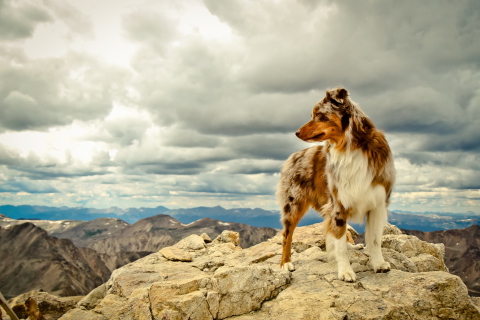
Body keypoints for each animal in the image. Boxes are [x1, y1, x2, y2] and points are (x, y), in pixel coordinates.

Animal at [278, 86, 394, 282]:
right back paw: (285, 264)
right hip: (294, 204)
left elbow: (375, 239)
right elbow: (339, 244)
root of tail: (293, 156)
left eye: (319, 115)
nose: (296, 132)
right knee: (287, 235)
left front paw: (378, 264)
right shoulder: (338, 204)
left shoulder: (377, 203)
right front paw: (346, 271)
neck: (350, 147)